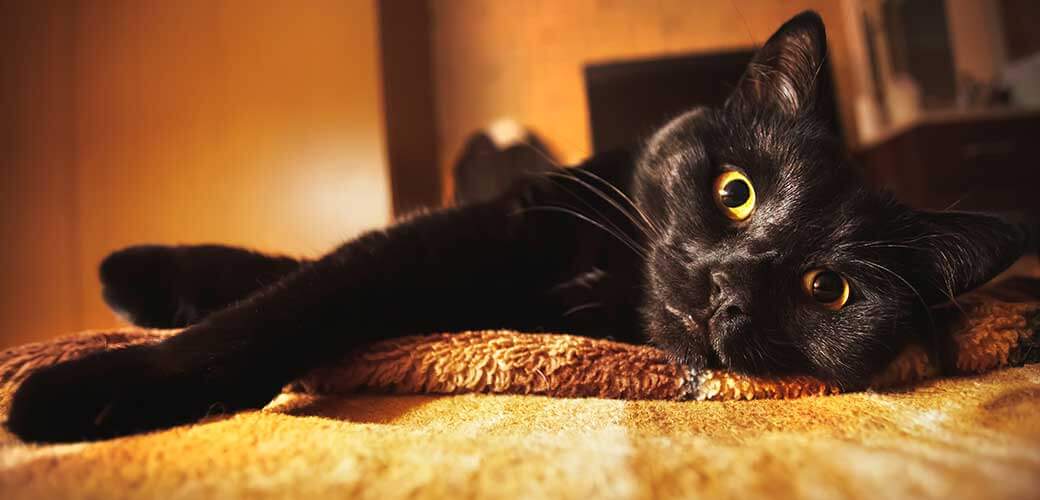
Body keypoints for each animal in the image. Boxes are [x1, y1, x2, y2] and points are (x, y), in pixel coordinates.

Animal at [4, 11, 1027, 440]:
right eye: (736, 192)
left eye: (829, 289)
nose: (726, 287)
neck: (611, 280)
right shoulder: (493, 226)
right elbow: (300, 284)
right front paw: (136, 293)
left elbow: (300, 300)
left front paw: (82, 391)